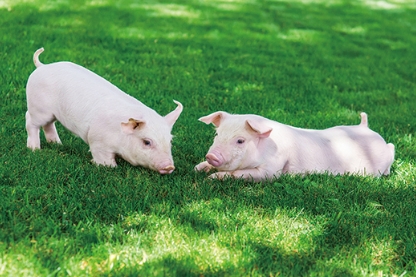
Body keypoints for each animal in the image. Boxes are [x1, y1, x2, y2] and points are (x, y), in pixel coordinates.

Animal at [25, 47, 182, 172]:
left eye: (170, 141)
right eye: (147, 142)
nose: (169, 167)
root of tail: (42, 66)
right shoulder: (98, 140)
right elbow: (102, 157)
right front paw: (110, 167)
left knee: (48, 125)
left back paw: (57, 143)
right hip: (38, 108)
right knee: (30, 120)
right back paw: (34, 149)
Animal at [195, 110, 394, 181]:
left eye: (240, 140)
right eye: (217, 135)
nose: (212, 155)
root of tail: (365, 126)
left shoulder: (272, 169)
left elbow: (240, 174)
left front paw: (211, 178)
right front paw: (198, 168)